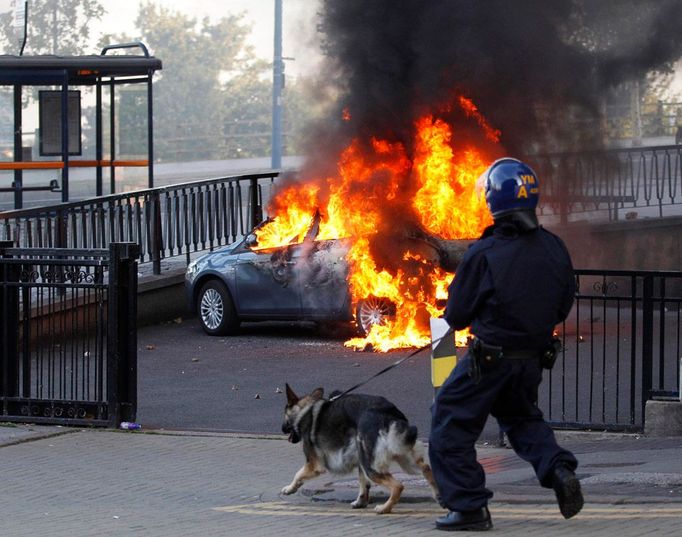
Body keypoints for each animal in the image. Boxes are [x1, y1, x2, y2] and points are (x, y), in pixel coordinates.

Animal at [280, 384, 436, 512]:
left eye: (284, 415)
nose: (281, 428)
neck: (304, 410)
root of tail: (389, 413)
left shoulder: (313, 465)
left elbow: (298, 474)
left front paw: (289, 488)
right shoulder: (359, 459)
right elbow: (363, 483)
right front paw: (361, 501)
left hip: (372, 466)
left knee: (398, 486)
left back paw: (384, 508)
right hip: (403, 458)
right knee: (426, 468)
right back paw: (437, 494)